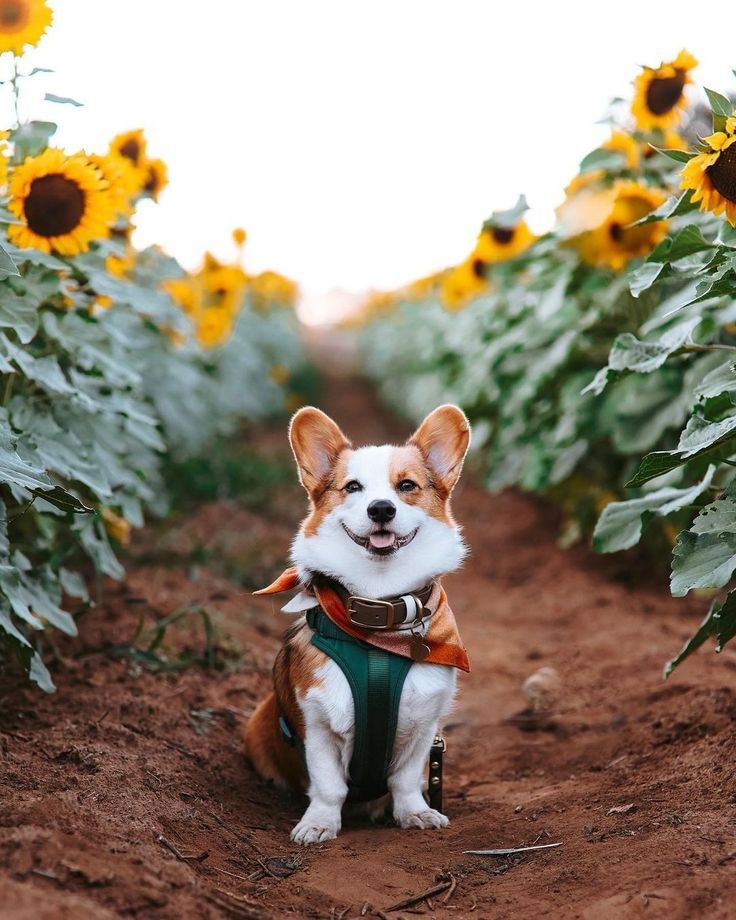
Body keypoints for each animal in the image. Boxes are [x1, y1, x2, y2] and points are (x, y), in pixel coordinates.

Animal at [243, 406, 472, 844]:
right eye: (352, 488)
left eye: (406, 485)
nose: (381, 509)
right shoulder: (316, 726)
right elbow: (329, 786)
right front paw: (318, 823)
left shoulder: (424, 727)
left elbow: (405, 780)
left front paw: (414, 813)